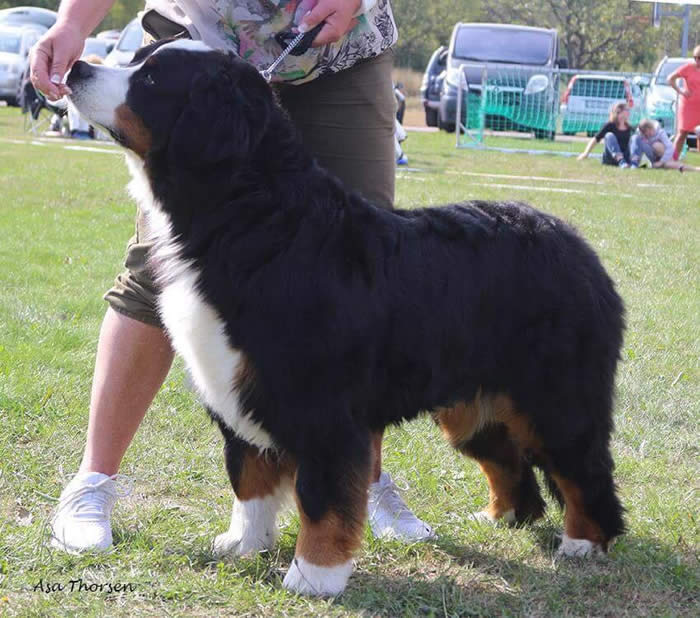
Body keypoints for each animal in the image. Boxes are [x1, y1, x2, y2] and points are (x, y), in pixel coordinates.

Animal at [65, 39, 624, 596]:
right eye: (140, 57)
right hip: (471, 405)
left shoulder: (322, 407)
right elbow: (248, 478)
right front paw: (243, 543)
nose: (75, 67)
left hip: (556, 398)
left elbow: (322, 499)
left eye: (151, 79)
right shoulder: (237, 388)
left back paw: (583, 542)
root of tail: (575, 242)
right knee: (509, 462)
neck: (251, 219)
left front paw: (313, 575)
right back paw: (500, 517)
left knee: (584, 469)